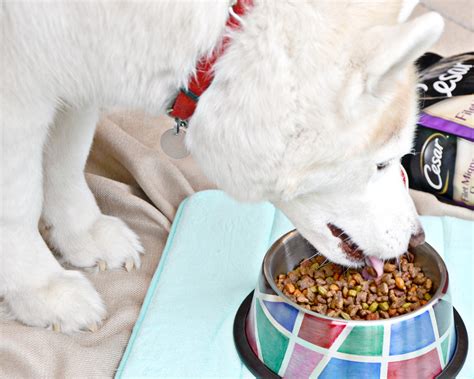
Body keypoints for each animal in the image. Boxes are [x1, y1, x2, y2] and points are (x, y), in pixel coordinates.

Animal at [0, 0, 444, 332]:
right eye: (383, 163)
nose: (418, 237)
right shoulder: (19, 95)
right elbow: (18, 206)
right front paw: (41, 290)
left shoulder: (78, 71)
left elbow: (65, 160)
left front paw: (83, 234)